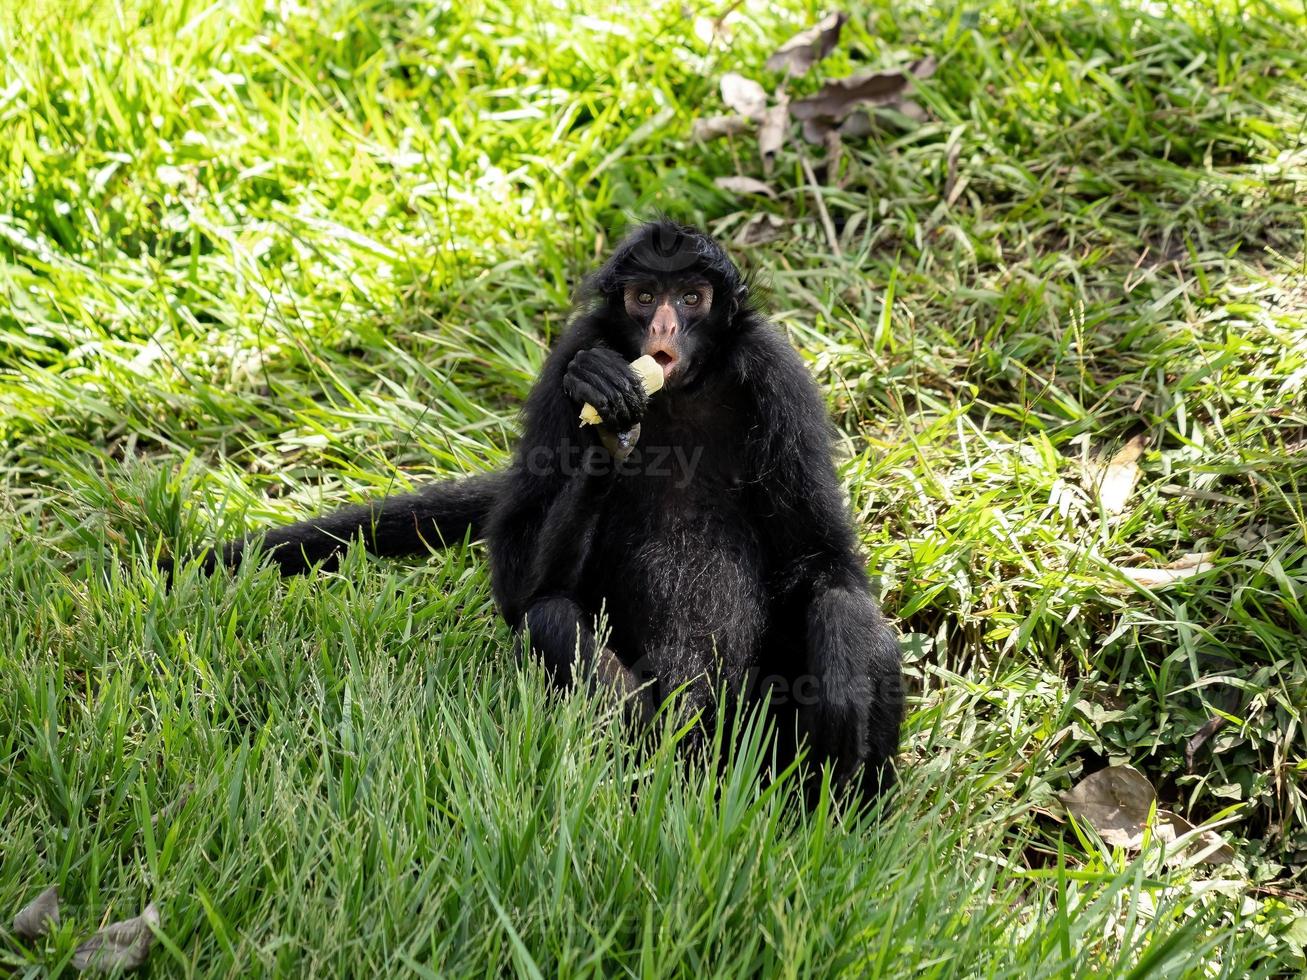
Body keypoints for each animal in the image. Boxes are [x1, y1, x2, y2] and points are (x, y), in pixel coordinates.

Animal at [173, 220, 904, 799]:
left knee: (847, 613)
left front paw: (842, 687)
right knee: (550, 614)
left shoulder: (776, 372)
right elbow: (518, 585)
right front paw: (606, 432)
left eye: (691, 298)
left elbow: (827, 566)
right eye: (645, 298)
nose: (664, 326)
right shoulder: (568, 362)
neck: (677, 392)